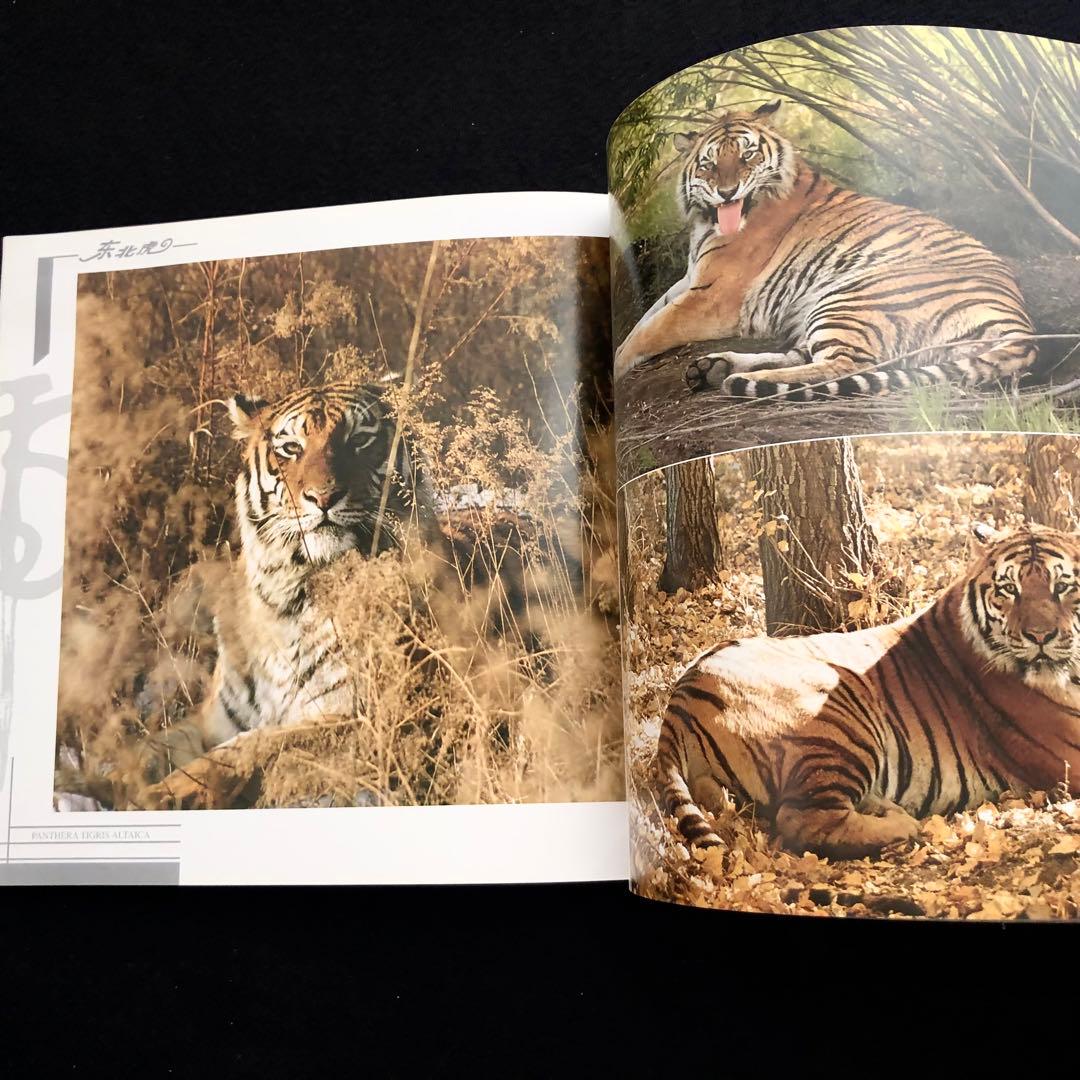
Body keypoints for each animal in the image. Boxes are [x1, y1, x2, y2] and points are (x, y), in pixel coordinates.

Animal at [613, 100, 1037, 400]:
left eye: (747, 155)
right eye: (710, 164)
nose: (728, 192)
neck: (710, 221)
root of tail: (1021, 322)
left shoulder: (711, 298)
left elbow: (647, 333)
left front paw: (613, 372)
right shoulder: (689, 279)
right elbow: (643, 320)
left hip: (848, 296)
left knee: (844, 366)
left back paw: (742, 379)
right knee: (804, 354)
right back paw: (714, 368)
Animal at [656, 523, 1080, 860]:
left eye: (1062, 586)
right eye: (1008, 589)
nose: (1040, 636)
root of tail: (681, 691)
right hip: (835, 720)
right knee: (800, 819)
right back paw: (902, 826)